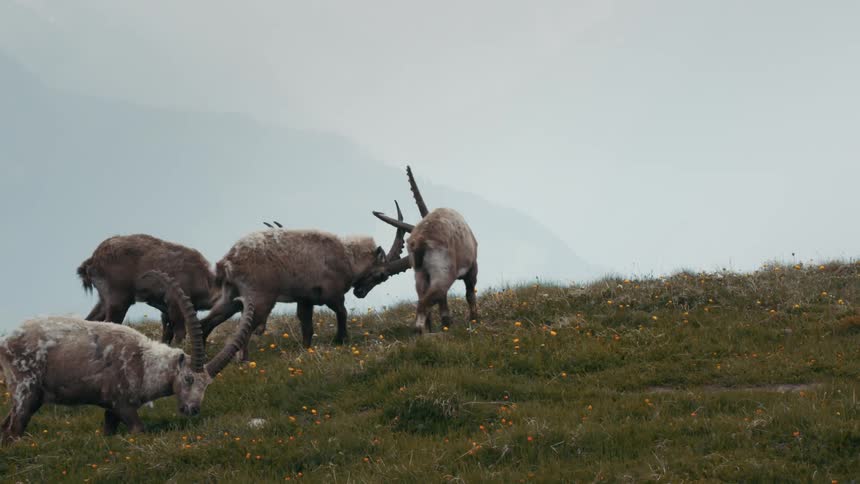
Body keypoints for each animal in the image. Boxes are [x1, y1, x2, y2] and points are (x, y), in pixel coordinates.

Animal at [0, 271, 254, 444]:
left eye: (207, 384)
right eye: (189, 378)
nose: (192, 410)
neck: (145, 363)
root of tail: (6, 342)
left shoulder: (110, 410)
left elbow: (108, 431)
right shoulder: (121, 403)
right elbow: (138, 429)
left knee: (6, 426)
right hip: (26, 390)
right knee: (14, 428)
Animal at [77, 234, 219, 344]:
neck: (200, 276)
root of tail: (93, 259)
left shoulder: (166, 311)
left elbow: (167, 334)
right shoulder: (175, 302)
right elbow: (180, 332)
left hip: (103, 300)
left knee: (90, 319)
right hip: (118, 300)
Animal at [199, 219, 410, 357]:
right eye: (381, 275)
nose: (360, 293)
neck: (347, 256)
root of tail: (227, 261)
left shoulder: (305, 299)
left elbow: (307, 325)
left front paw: (306, 349)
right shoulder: (331, 294)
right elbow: (342, 312)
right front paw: (341, 339)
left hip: (230, 298)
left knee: (206, 323)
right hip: (260, 299)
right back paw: (242, 360)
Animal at [373, 166, 478, 333]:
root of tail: (421, 242)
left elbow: (444, 304)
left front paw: (446, 324)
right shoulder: (472, 267)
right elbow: (470, 293)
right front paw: (474, 320)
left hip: (421, 276)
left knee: (423, 300)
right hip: (443, 274)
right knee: (425, 303)